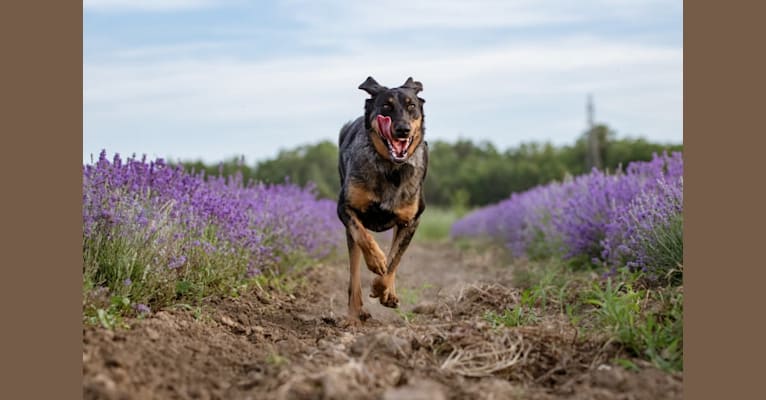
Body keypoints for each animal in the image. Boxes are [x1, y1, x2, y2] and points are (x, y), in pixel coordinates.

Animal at [338, 76, 428, 324]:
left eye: (411, 106)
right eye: (386, 107)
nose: (402, 130)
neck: (391, 169)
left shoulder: (412, 220)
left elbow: (394, 259)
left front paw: (382, 288)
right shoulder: (345, 208)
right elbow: (364, 238)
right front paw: (376, 260)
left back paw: (388, 293)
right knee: (354, 271)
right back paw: (354, 313)